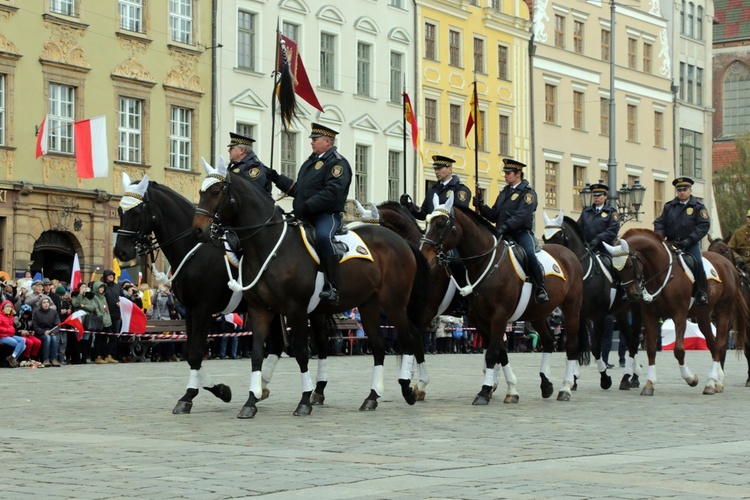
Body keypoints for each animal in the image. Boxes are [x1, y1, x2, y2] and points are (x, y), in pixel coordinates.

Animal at [191, 165, 432, 418]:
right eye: (201, 192)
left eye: (216, 192)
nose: (198, 229)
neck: (269, 246)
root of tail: (403, 242)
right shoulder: (260, 310)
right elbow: (257, 354)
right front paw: (250, 401)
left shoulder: (296, 310)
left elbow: (302, 353)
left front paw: (305, 400)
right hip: (369, 305)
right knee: (378, 346)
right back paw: (372, 397)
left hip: (393, 303)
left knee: (411, 336)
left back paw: (408, 389)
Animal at [420, 195, 592, 402]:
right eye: (427, 222)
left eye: (441, 223)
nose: (423, 254)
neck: (486, 262)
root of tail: (570, 256)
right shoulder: (481, 318)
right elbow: (499, 351)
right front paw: (508, 389)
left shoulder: (499, 315)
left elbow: (493, 352)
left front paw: (485, 391)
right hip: (537, 313)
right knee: (549, 340)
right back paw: (546, 384)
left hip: (572, 308)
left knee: (571, 345)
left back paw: (565, 387)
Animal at [544, 211, 644, 390]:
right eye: (544, 237)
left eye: (558, 235)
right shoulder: (577, 314)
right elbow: (578, 345)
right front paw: (573, 379)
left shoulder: (599, 316)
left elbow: (596, 347)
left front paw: (604, 378)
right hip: (621, 312)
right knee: (629, 337)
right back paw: (630, 377)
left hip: (635, 309)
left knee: (633, 340)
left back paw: (633, 377)